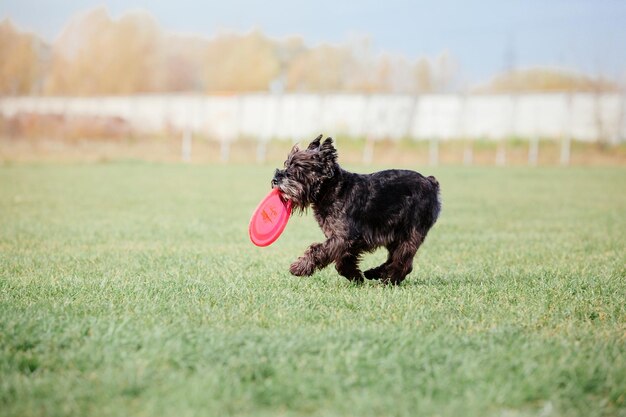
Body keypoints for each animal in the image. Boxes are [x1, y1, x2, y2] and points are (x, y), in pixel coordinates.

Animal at [270, 135, 442, 284]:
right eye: (287, 164)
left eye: (299, 166)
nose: (275, 179)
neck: (332, 190)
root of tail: (430, 182)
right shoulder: (347, 240)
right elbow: (342, 260)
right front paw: (355, 276)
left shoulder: (343, 237)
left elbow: (318, 250)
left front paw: (299, 267)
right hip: (396, 236)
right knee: (396, 259)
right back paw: (375, 273)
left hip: (410, 234)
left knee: (403, 262)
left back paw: (388, 280)